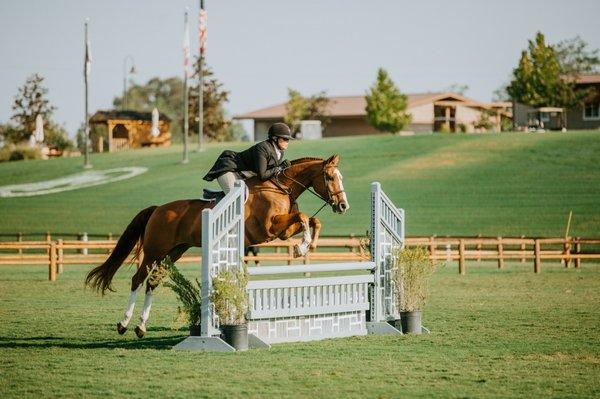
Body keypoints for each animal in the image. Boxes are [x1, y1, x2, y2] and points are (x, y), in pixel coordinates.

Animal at [84, 155, 346, 340]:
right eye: (330, 178)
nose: (343, 206)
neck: (280, 186)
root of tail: (158, 209)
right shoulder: (270, 228)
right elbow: (302, 217)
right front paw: (302, 248)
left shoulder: (282, 232)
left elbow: (312, 220)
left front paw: (310, 244)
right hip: (154, 250)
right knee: (138, 279)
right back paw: (123, 324)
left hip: (174, 252)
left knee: (153, 281)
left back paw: (140, 327)